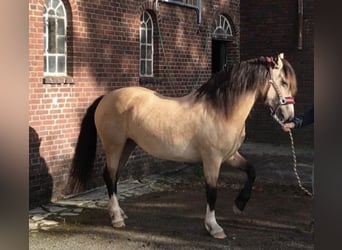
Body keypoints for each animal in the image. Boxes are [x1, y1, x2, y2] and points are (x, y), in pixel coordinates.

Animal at [69, 53, 296, 238]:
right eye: (283, 82)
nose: (289, 117)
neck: (220, 110)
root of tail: (105, 97)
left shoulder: (230, 155)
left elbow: (252, 171)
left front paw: (239, 205)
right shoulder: (212, 160)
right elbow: (212, 192)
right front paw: (213, 227)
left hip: (127, 146)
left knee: (113, 177)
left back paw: (119, 213)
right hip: (114, 146)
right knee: (109, 176)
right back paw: (116, 218)